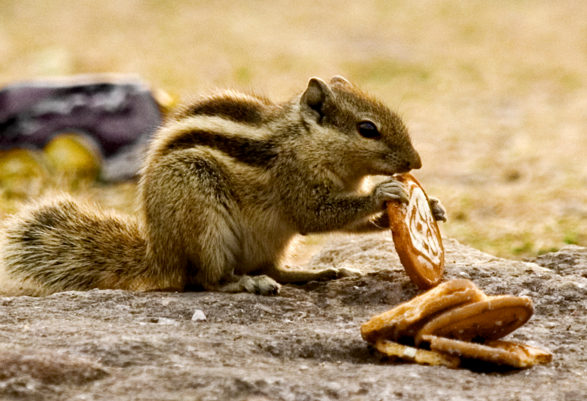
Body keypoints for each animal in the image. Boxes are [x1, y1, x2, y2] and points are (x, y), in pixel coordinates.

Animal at [0, 77, 446, 296]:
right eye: (367, 129)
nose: (417, 163)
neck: (304, 141)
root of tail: (158, 256)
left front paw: (434, 207)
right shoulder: (297, 185)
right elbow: (316, 215)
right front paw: (384, 194)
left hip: (272, 240)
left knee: (275, 268)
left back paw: (317, 273)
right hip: (202, 218)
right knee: (205, 280)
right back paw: (245, 284)